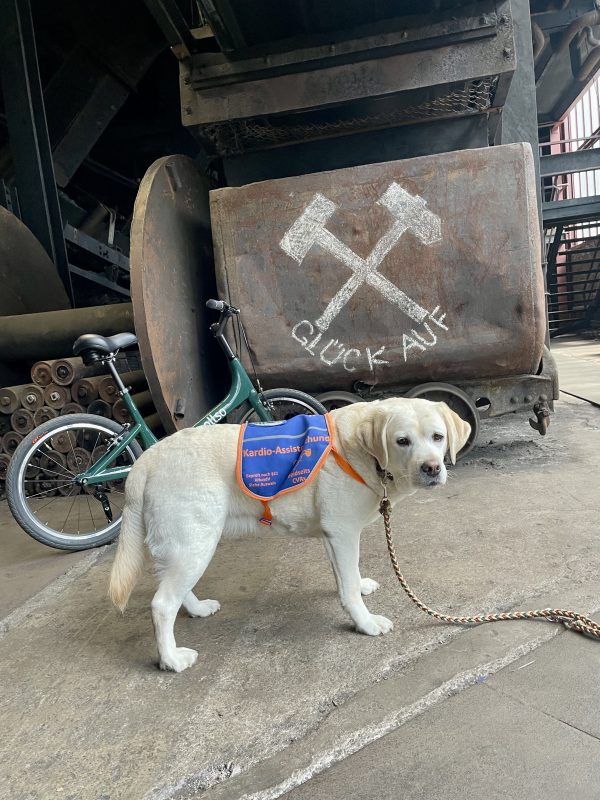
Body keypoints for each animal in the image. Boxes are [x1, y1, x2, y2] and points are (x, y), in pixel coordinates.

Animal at [111, 398, 468, 668]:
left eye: (438, 437)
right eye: (402, 441)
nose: (432, 468)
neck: (363, 454)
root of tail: (145, 460)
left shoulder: (334, 536)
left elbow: (348, 578)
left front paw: (360, 587)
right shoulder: (343, 533)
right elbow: (349, 589)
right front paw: (365, 623)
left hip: (185, 547)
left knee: (173, 591)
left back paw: (197, 610)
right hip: (195, 542)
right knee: (162, 604)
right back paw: (171, 660)